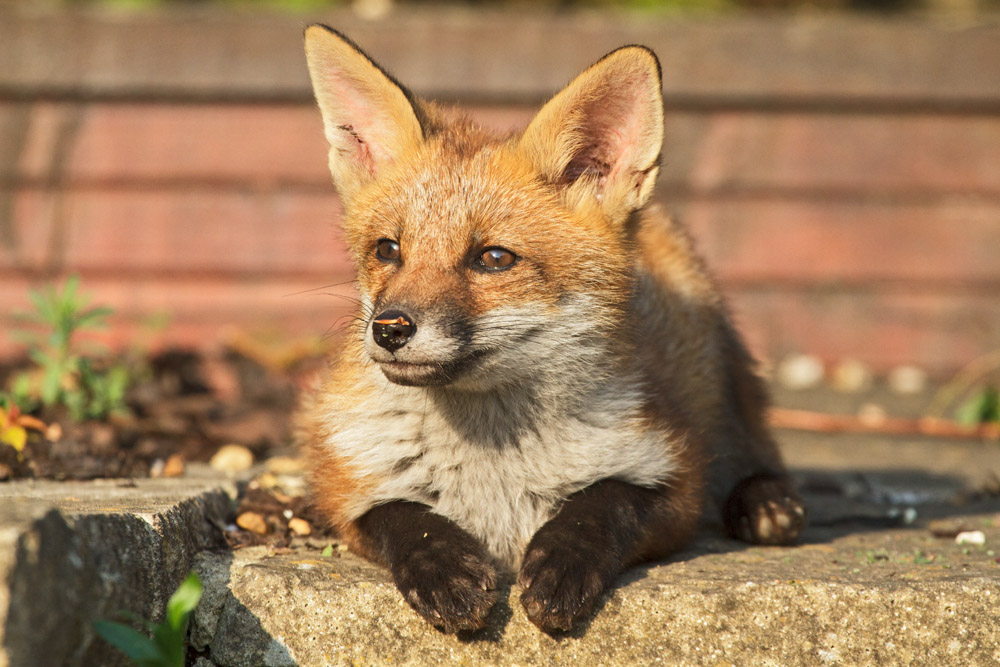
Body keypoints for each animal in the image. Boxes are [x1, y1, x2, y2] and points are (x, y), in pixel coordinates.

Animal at [298, 24, 806, 635]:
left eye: (494, 258)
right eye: (387, 250)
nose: (390, 329)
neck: (493, 469)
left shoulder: (675, 477)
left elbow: (606, 501)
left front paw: (562, 562)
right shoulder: (341, 489)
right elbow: (402, 515)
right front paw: (444, 568)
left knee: (754, 442)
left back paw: (765, 501)